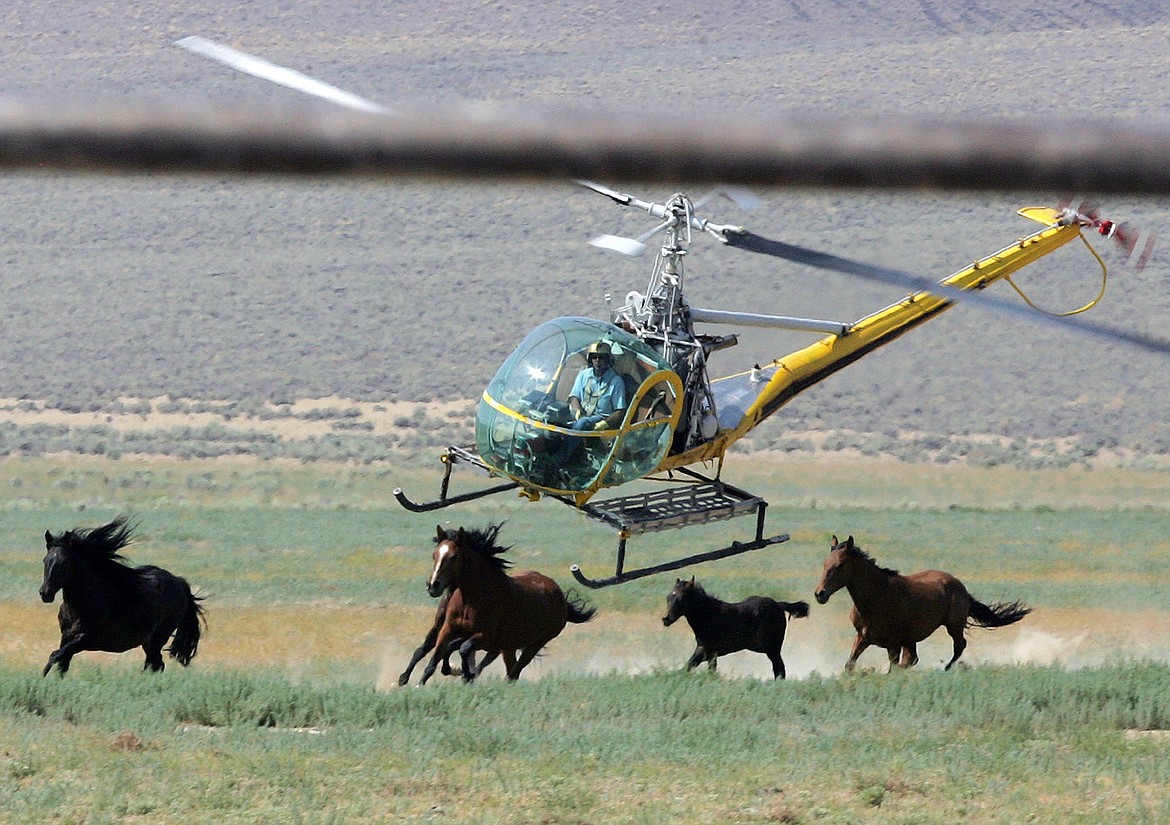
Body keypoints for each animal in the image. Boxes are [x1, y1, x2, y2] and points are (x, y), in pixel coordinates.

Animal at [38, 514, 208, 674]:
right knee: (155, 665)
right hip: (148, 642)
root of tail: (179, 583)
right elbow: (61, 665)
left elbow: (54, 656)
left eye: (63, 562)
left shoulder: (85, 639)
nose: (45, 593)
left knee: (155, 664)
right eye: (45, 560)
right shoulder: (66, 637)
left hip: (158, 638)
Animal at [421, 524, 599, 678]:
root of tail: (560, 596)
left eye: (454, 556)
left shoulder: (486, 638)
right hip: (509, 646)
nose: (433, 585)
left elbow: (463, 649)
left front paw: (464, 673)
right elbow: (435, 660)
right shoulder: (448, 629)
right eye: (434, 555)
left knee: (513, 673)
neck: (471, 600)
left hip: (535, 644)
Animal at [664, 575, 809, 678]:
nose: (665, 619)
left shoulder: (707, 650)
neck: (710, 615)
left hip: (772, 648)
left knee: (779, 669)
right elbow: (694, 667)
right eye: (668, 597)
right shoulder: (707, 652)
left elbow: (692, 666)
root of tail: (779, 605)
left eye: (681, 598)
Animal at [814, 533, 1034, 669]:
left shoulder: (893, 643)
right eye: (825, 563)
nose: (820, 594)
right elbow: (849, 665)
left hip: (953, 626)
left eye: (840, 565)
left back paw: (946, 668)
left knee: (959, 646)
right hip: (912, 638)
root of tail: (960, 586)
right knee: (914, 658)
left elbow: (894, 667)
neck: (876, 597)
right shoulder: (863, 637)